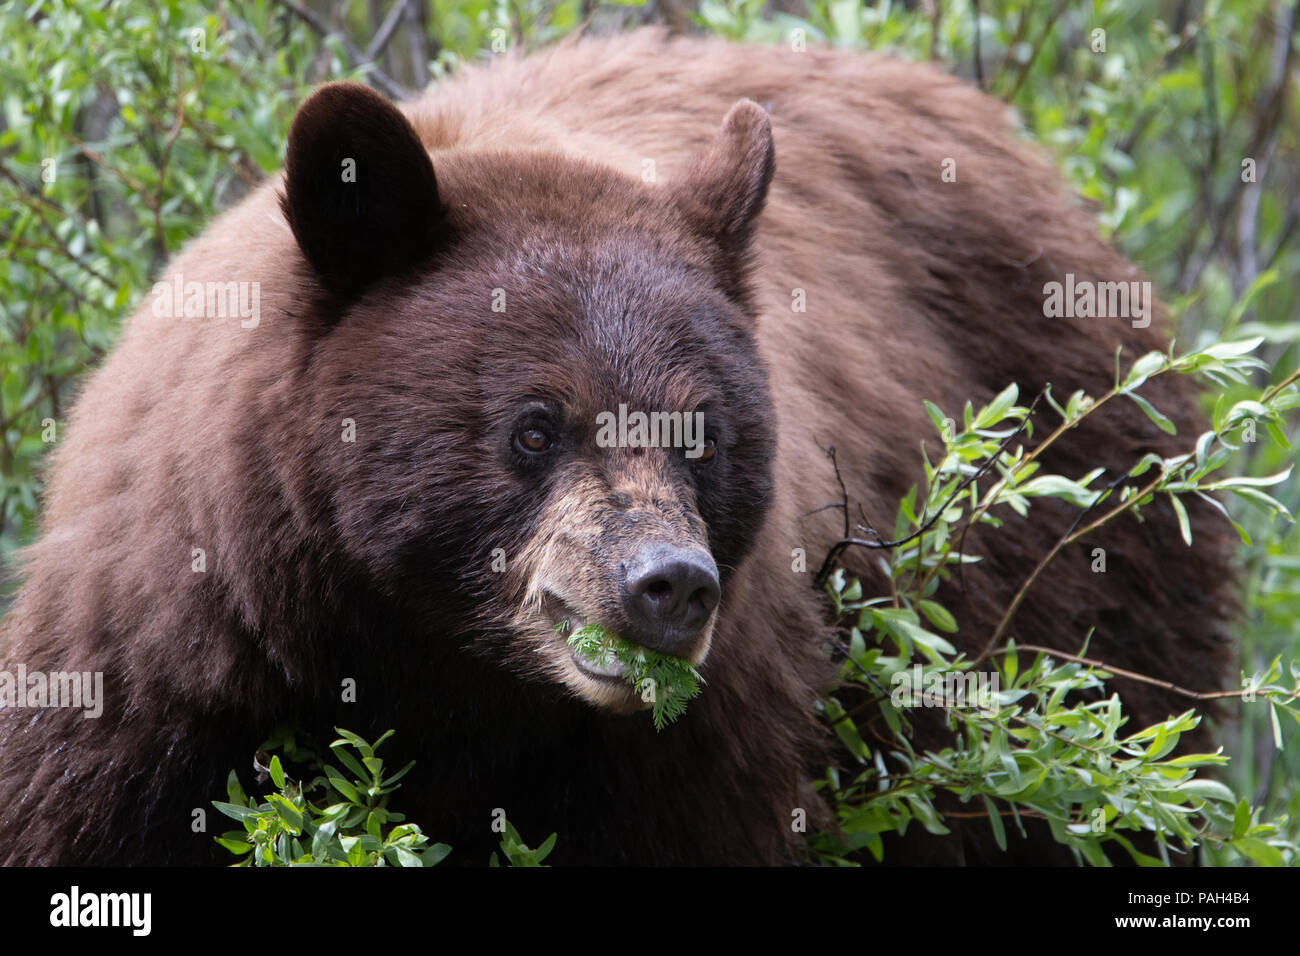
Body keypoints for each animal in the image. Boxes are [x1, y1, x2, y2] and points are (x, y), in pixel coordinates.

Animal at [0, 29, 1233, 866]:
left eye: (701, 435)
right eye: (533, 425)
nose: (667, 585)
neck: (438, 667)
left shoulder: (699, 732)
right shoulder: (167, 659)